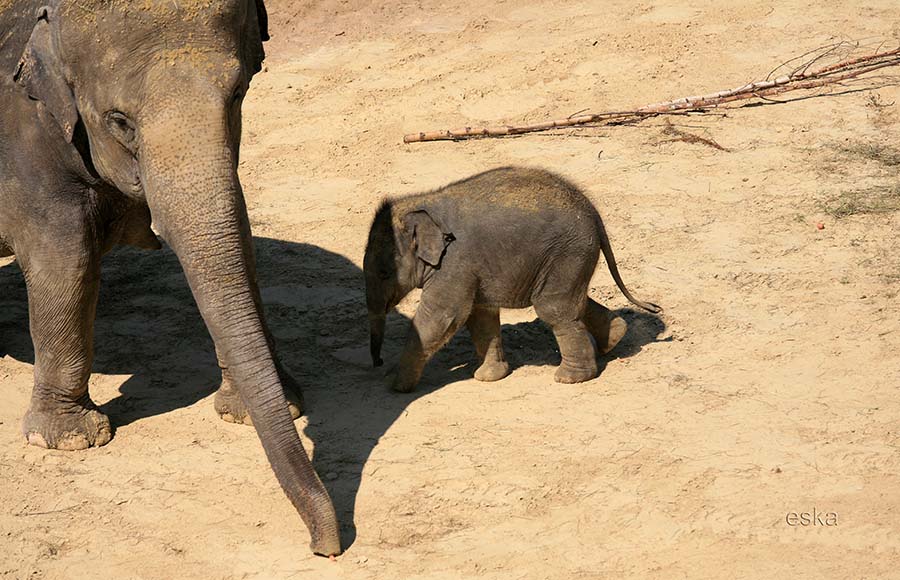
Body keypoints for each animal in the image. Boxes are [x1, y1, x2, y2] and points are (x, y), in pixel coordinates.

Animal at [0, 0, 342, 556]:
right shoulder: (24, 148)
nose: (326, 547)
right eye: (119, 120)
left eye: (238, 93)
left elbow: (236, 232)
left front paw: (256, 408)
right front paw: (69, 439)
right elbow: (66, 261)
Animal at [366, 165, 660, 392]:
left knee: (554, 308)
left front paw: (395, 384)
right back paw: (615, 338)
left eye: (384, 272)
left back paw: (570, 379)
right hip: (570, 259)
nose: (378, 363)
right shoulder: (470, 269)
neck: (419, 202)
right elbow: (480, 316)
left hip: (566, 253)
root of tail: (594, 214)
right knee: (572, 301)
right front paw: (488, 378)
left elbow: (441, 318)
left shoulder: (455, 264)